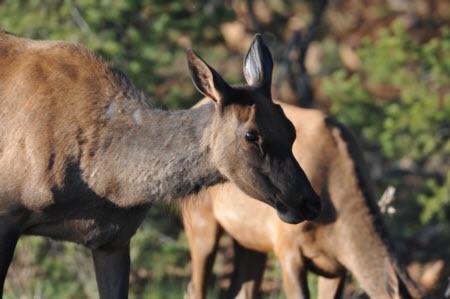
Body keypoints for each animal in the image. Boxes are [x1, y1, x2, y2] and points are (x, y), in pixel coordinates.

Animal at [0, 31, 324, 299]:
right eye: (251, 135)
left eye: (291, 129)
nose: (310, 202)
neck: (106, 180)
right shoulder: (9, 216)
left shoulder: (114, 239)